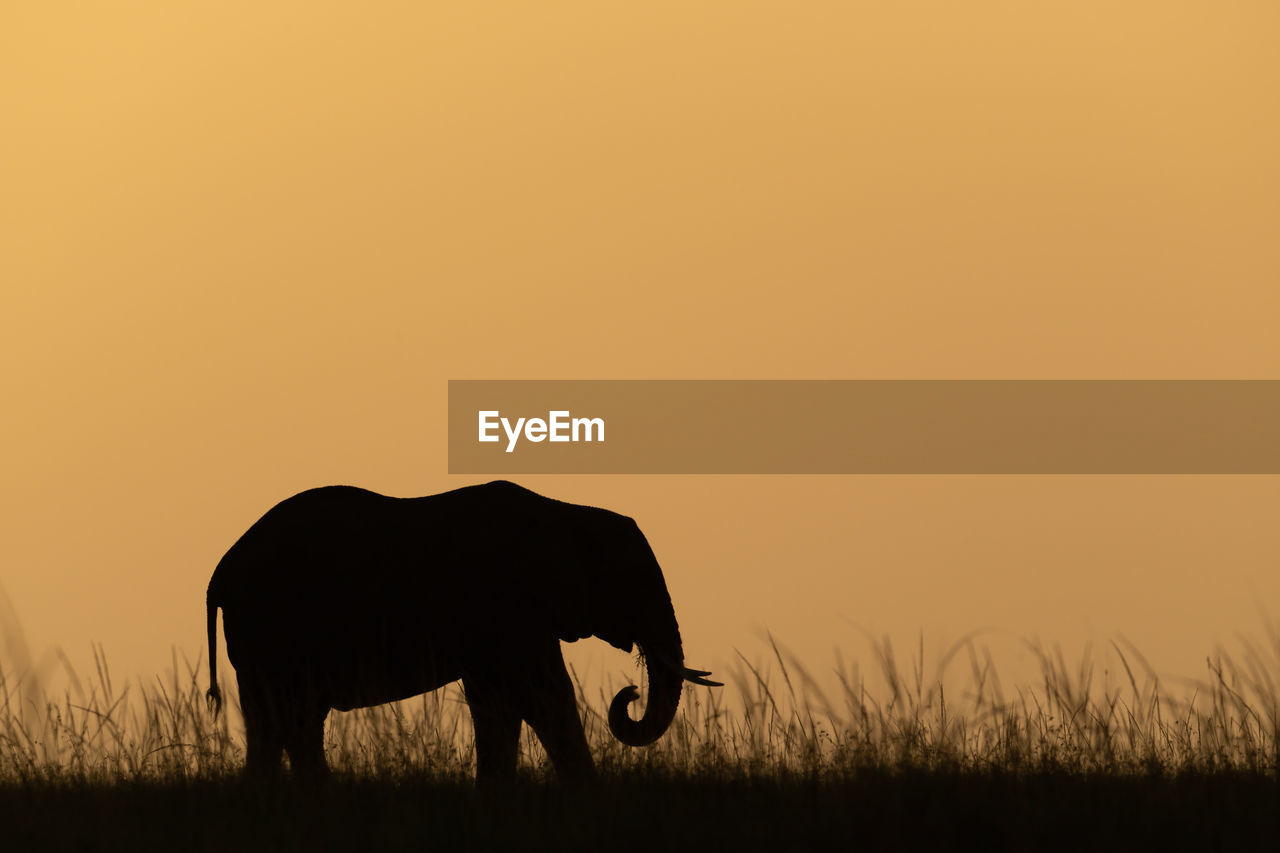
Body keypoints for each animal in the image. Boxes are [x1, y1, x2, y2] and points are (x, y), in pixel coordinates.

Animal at [204, 473, 716, 778]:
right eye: (634, 581)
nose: (630, 693)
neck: (567, 511)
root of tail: (221, 570)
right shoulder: (512, 608)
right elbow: (544, 696)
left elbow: (499, 705)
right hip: (273, 628)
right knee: (288, 719)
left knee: (281, 721)